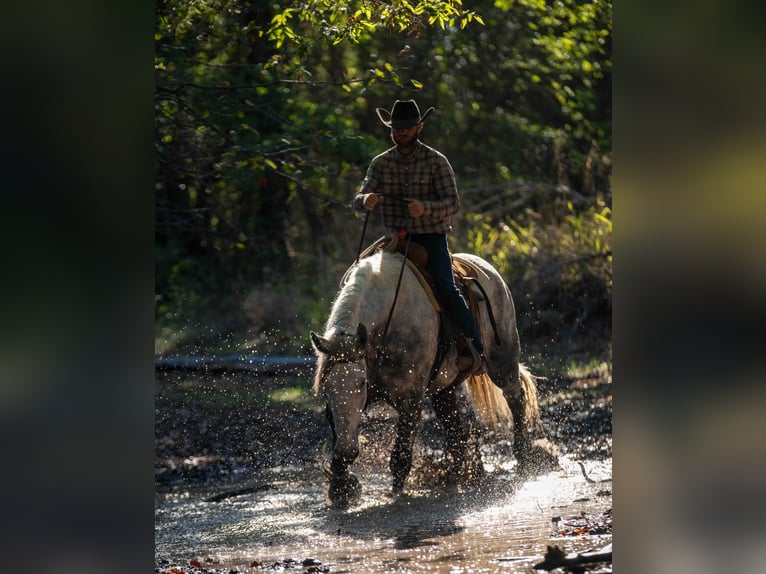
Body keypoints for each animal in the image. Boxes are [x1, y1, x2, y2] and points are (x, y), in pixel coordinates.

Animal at [310, 248, 558, 506]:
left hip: (502, 363)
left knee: (516, 398)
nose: (347, 450)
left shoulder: (411, 399)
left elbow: (400, 455)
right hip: (444, 389)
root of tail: (490, 272)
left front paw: (395, 493)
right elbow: (339, 431)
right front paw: (342, 487)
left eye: (361, 383)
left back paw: (524, 457)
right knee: (454, 427)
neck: (388, 322)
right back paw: (463, 474)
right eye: (325, 388)